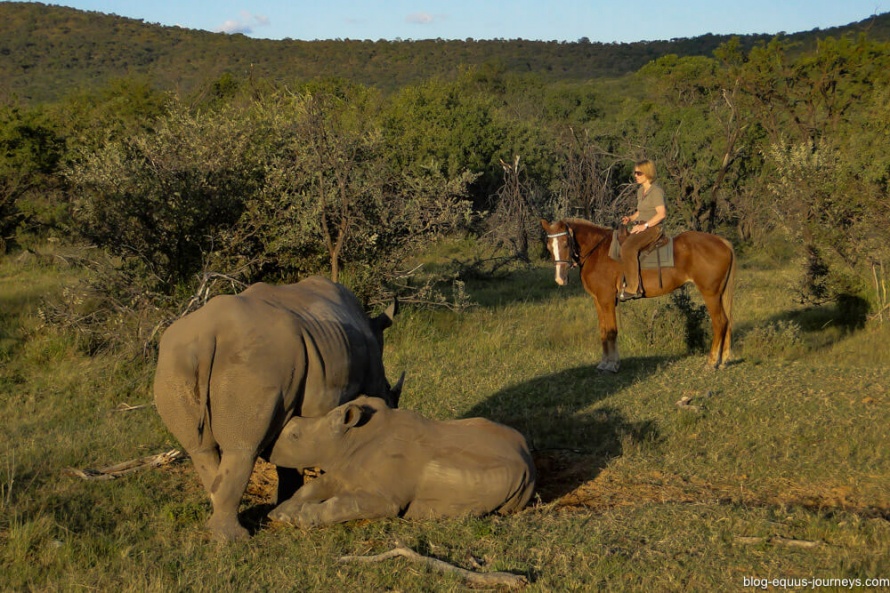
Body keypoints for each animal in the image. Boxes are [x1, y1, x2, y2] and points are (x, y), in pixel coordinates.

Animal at [154, 276, 400, 540]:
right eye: (390, 391)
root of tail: (208, 336)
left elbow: (289, 454)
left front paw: (281, 503)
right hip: (253, 363)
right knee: (243, 449)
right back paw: (235, 539)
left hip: (174, 364)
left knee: (200, 449)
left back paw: (218, 529)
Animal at [266, 396, 536, 524]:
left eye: (294, 436)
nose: (267, 447)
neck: (348, 439)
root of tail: (529, 458)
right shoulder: (346, 469)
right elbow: (314, 487)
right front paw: (280, 512)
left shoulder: (385, 497)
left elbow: (340, 505)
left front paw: (299, 518)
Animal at [536, 217, 736, 370]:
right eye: (549, 246)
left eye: (565, 243)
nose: (560, 278)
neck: (597, 252)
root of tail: (723, 242)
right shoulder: (598, 300)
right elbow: (603, 331)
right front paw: (604, 363)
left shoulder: (607, 299)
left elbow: (611, 331)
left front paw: (612, 365)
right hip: (719, 294)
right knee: (726, 321)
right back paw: (723, 360)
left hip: (710, 293)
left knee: (719, 322)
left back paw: (711, 362)